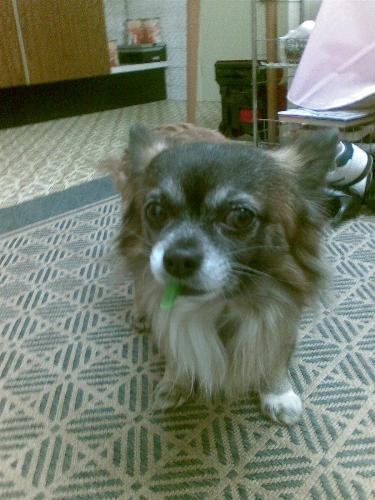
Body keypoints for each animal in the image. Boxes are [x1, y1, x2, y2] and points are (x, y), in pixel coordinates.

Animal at [110, 123, 340, 424]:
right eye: (156, 211)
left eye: (241, 216)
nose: (178, 259)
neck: (223, 302)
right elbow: (175, 345)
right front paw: (175, 382)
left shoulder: (282, 317)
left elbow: (275, 356)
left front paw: (277, 393)